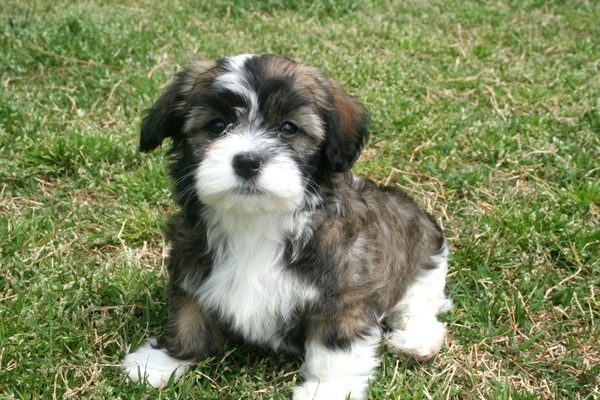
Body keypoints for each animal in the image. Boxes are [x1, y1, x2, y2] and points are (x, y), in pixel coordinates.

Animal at [122, 54, 452, 400]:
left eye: (288, 128)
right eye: (216, 126)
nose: (247, 161)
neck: (258, 219)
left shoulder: (344, 289)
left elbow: (336, 343)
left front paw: (327, 388)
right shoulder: (193, 264)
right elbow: (189, 315)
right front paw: (164, 361)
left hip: (424, 258)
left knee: (420, 303)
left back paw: (417, 339)